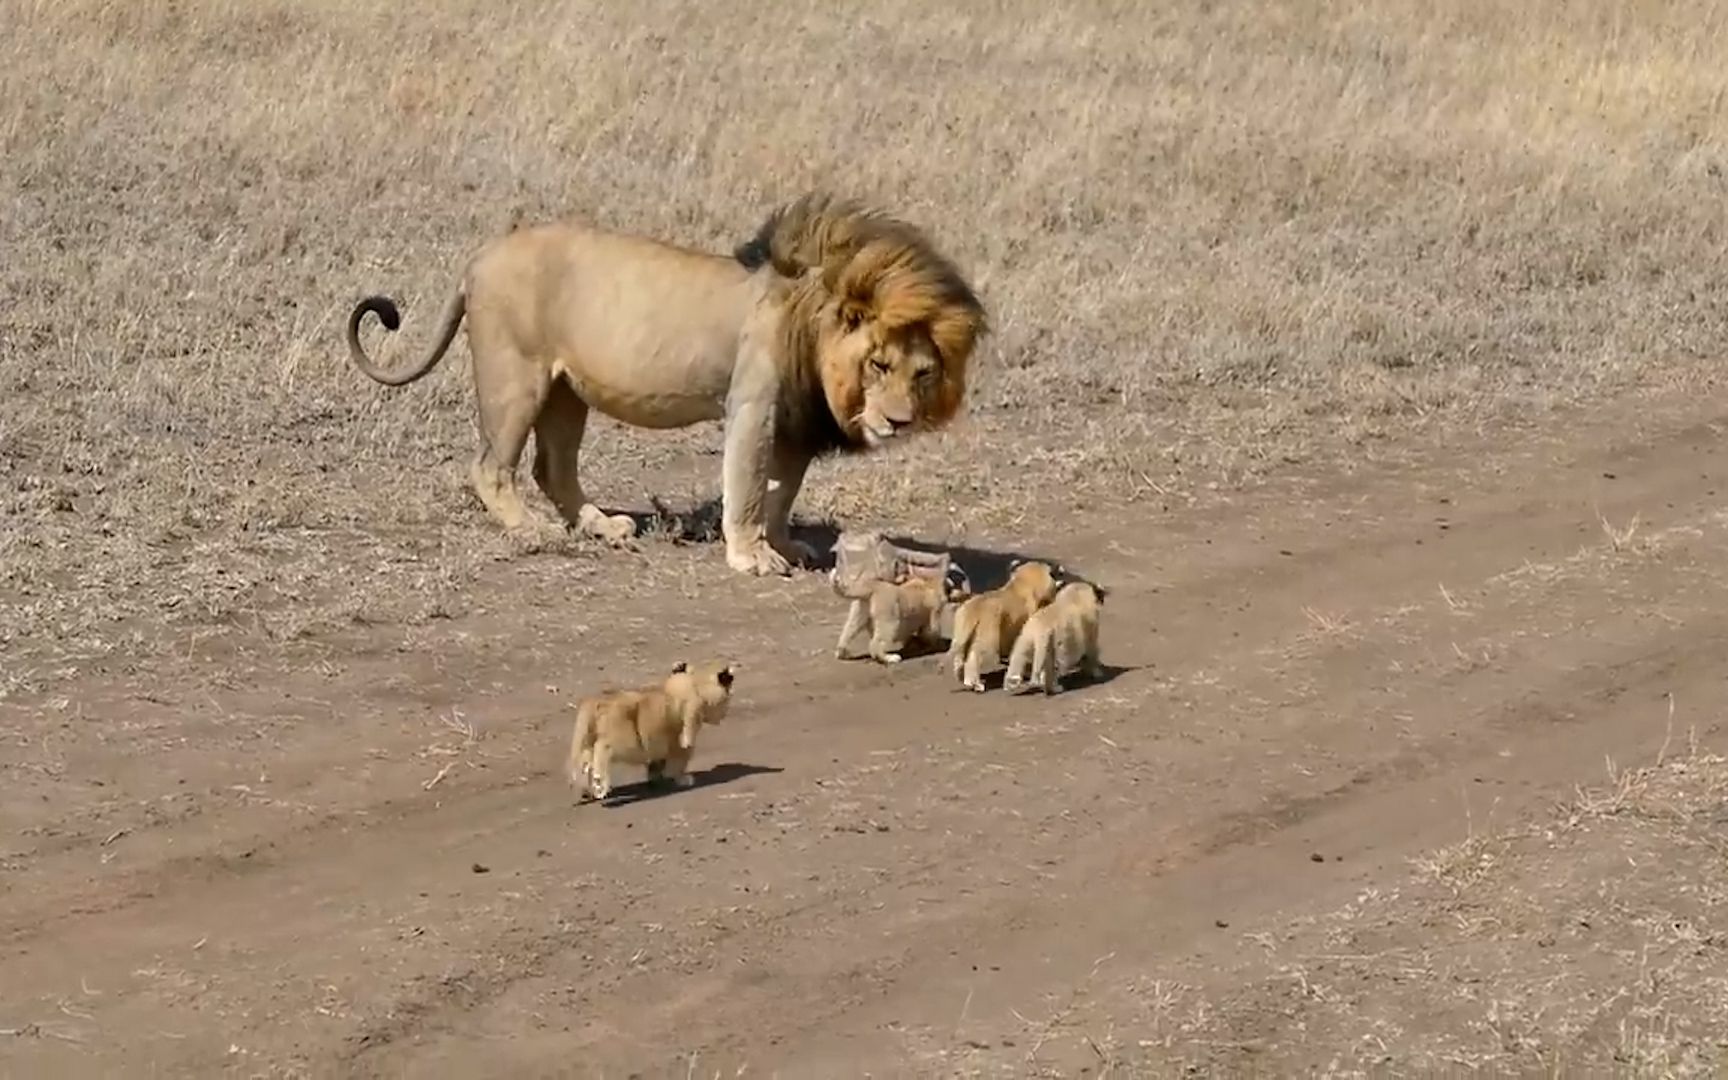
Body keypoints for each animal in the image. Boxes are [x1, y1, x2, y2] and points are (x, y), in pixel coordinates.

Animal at [343, 196, 988, 580]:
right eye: (878, 364)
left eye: (922, 372)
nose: (899, 422)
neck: (812, 318)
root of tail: (478, 259)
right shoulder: (753, 404)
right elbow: (748, 487)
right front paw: (751, 555)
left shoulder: (792, 425)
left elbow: (781, 491)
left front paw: (784, 545)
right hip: (515, 375)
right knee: (491, 467)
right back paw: (532, 529)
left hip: (566, 391)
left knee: (553, 468)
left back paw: (601, 525)